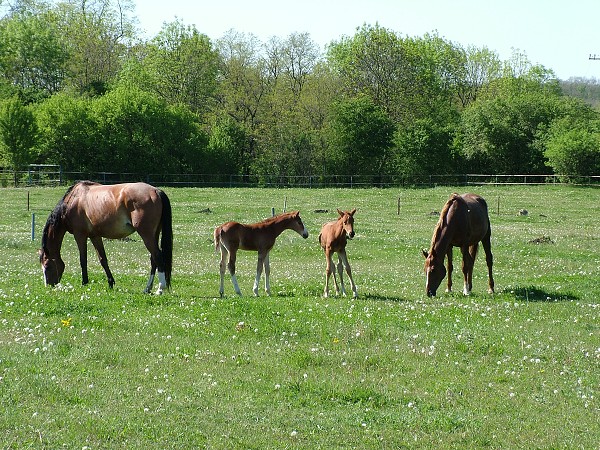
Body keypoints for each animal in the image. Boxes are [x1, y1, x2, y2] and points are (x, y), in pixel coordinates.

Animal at [39, 181, 172, 294]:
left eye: (47, 266)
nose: (49, 286)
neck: (73, 200)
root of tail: (156, 191)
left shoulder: (80, 235)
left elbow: (83, 260)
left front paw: (84, 282)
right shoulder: (95, 236)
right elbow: (103, 260)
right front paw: (110, 283)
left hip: (146, 235)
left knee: (158, 256)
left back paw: (160, 289)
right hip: (154, 234)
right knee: (153, 259)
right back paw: (147, 288)